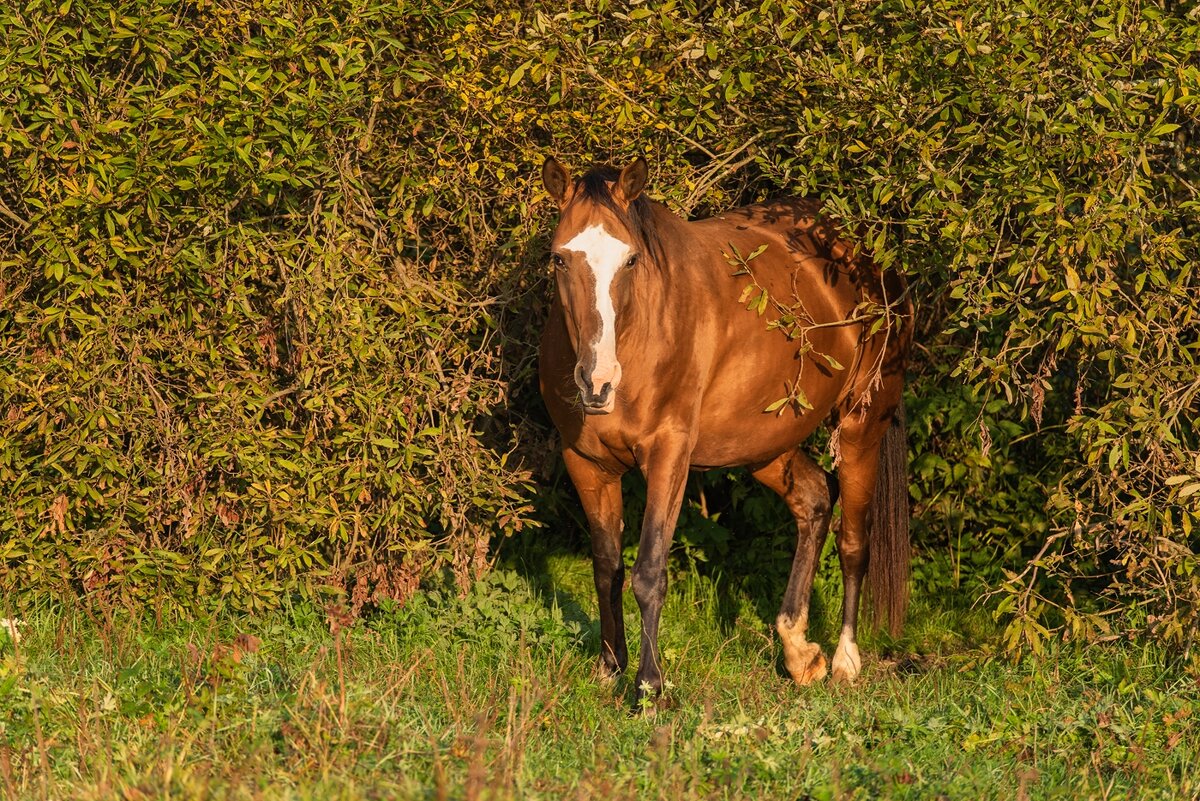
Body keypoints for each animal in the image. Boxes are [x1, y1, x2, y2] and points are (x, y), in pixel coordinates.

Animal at [535, 155, 907, 705]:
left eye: (630, 261)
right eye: (560, 259)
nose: (597, 382)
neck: (642, 331)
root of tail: (867, 254)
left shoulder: (669, 455)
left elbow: (649, 572)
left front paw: (648, 686)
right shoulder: (586, 462)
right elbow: (607, 567)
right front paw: (609, 668)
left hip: (862, 425)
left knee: (854, 543)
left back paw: (845, 660)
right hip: (764, 446)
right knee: (815, 501)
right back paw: (798, 651)